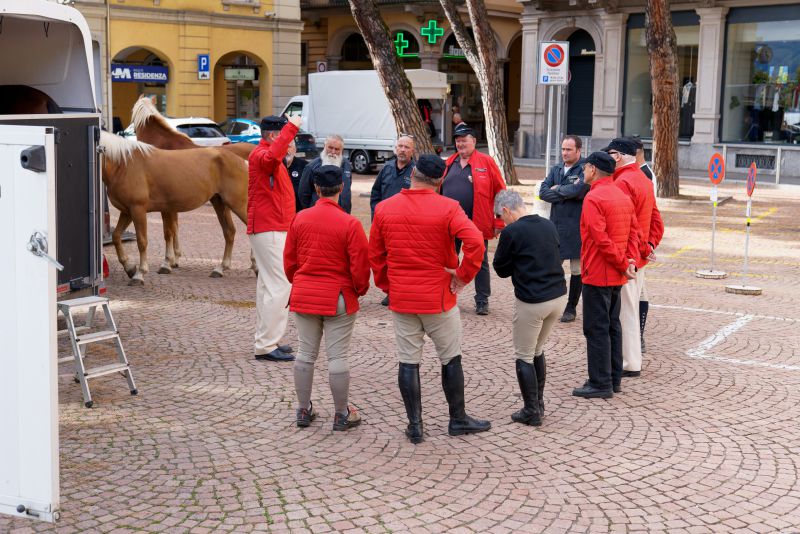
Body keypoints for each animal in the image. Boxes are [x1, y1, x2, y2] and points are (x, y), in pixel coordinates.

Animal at [101, 132, 250, 286]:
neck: (124, 165)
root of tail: (242, 161)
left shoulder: (138, 209)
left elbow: (142, 241)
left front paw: (139, 274)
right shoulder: (127, 211)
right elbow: (116, 236)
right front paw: (130, 268)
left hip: (238, 204)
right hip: (220, 203)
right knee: (229, 232)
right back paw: (220, 269)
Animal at [130, 94, 256, 276]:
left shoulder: (166, 205)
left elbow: (168, 231)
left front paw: (168, 262)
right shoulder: (172, 204)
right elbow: (175, 228)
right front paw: (175, 258)